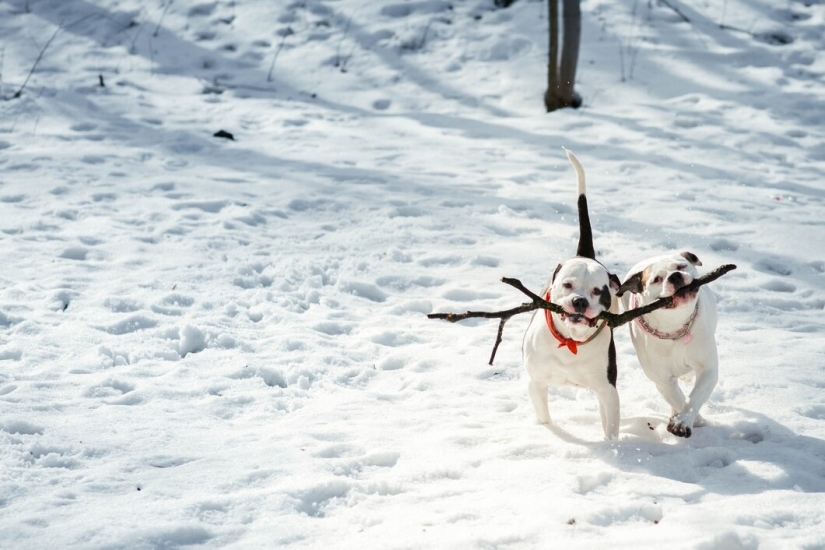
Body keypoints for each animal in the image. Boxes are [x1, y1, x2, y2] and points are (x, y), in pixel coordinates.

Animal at [520, 152, 616, 444]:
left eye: (598, 291)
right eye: (567, 284)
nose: (579, 302)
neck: (570, 342)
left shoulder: (608, 391)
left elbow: (611, 428)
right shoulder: (536, 383)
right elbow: (545, 418)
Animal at [616, 253, 716, 440]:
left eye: (681, 266)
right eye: (657, 279)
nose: (675, 276)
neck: (674, 328)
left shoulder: (708, 369)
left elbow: (694, 397)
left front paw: (683, 421)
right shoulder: (662, 381)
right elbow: (678, 397)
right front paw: (691, 420)